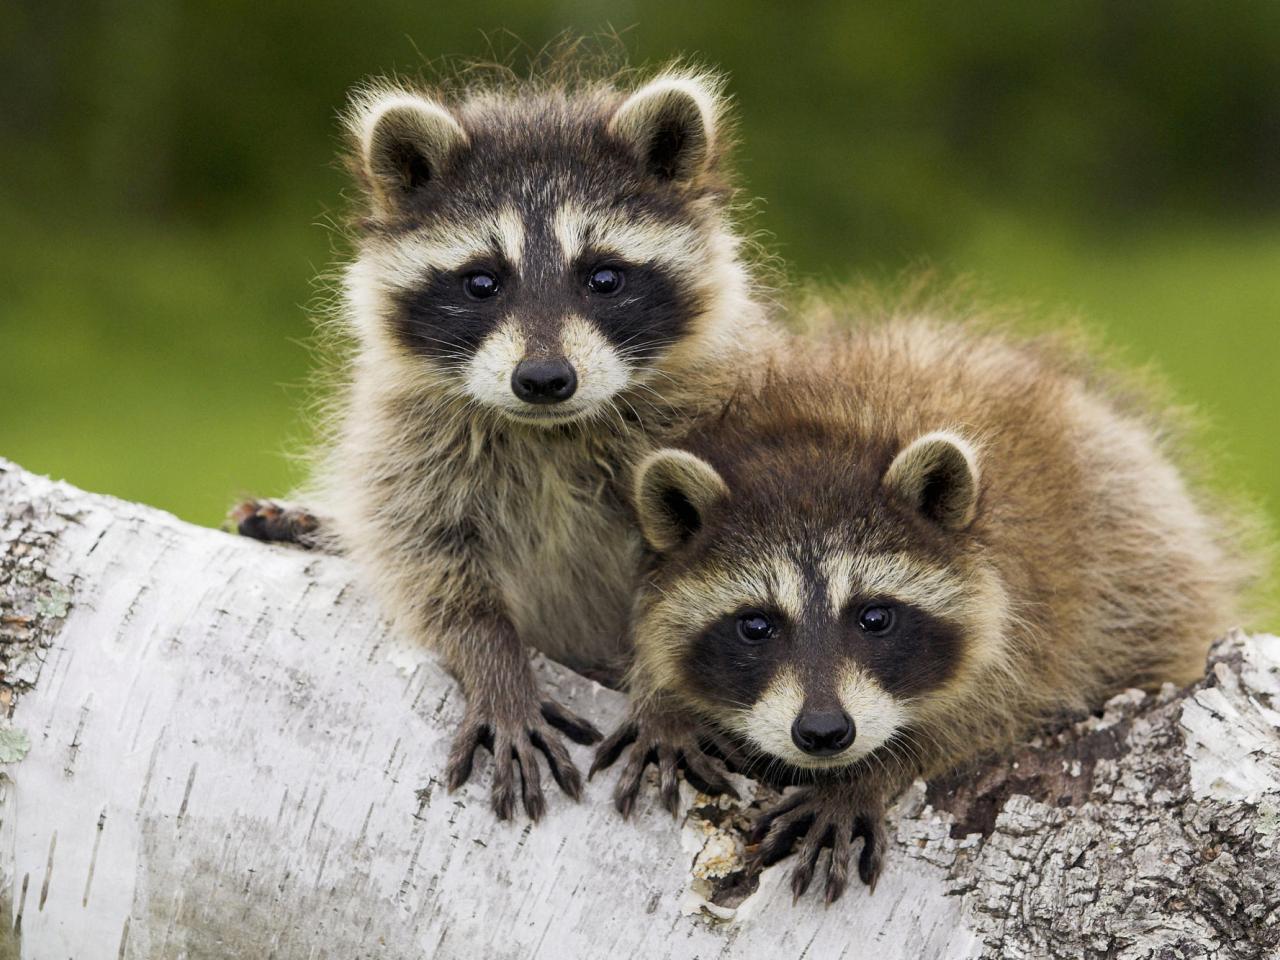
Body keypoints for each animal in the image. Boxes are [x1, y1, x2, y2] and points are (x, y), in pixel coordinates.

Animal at [240, 64, 778, 824]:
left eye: (604, 277)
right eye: (481, 282)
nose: (545, 379)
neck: (549, 431)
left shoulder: (717, 418)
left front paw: (666, 699)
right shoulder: (407, 436)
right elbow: (426, 558)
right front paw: (494, 662)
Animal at [593, 313, 1254, 901]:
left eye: (875, 617)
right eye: (755, 626)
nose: (824, 732)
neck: (821, 431)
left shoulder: (1039, 610)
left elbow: (992, 709)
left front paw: (871, 772)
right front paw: (662, 701)